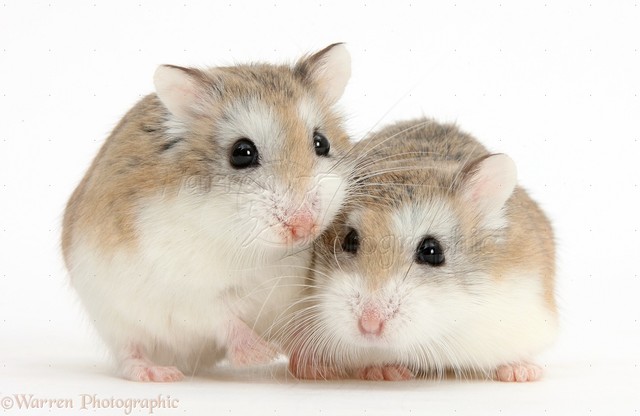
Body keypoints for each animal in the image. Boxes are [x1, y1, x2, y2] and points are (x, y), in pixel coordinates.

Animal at [61, 44, 354, 382]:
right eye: (242, 153)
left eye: (322, 143)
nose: (305, 226)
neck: (263, 252)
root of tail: (189, 362)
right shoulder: (189, 292)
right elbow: (223, 318)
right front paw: (262, 354)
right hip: (112, 316)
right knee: (129, 353)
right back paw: (161, 373)